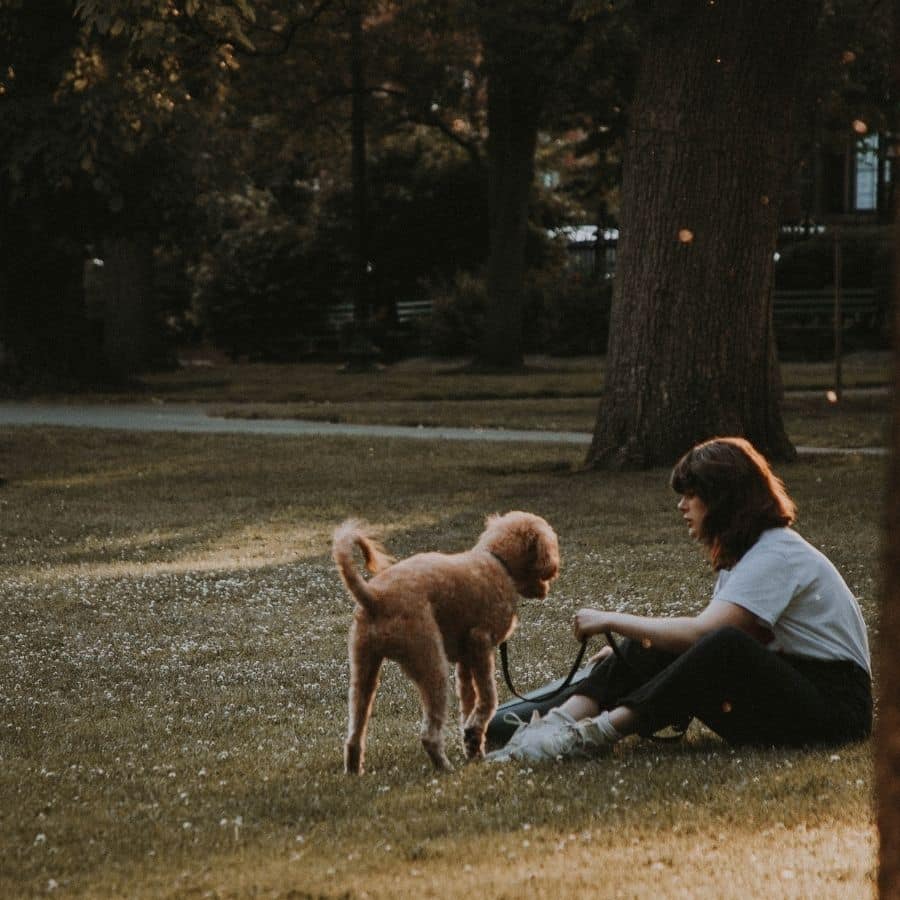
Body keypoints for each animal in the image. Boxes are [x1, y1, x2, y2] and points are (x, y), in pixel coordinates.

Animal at [332, 512, 556, 772]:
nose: (553, 571)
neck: (498, 562)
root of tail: (374, 598)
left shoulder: (465, 661)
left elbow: (468, 704)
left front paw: (473, 746)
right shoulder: (480, 644)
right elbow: (488, 699)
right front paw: (474, 733)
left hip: (364, 669)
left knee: (354, 734)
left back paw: (354, 770)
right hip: (431, 664)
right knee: (429, 735)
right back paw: (445, 768)